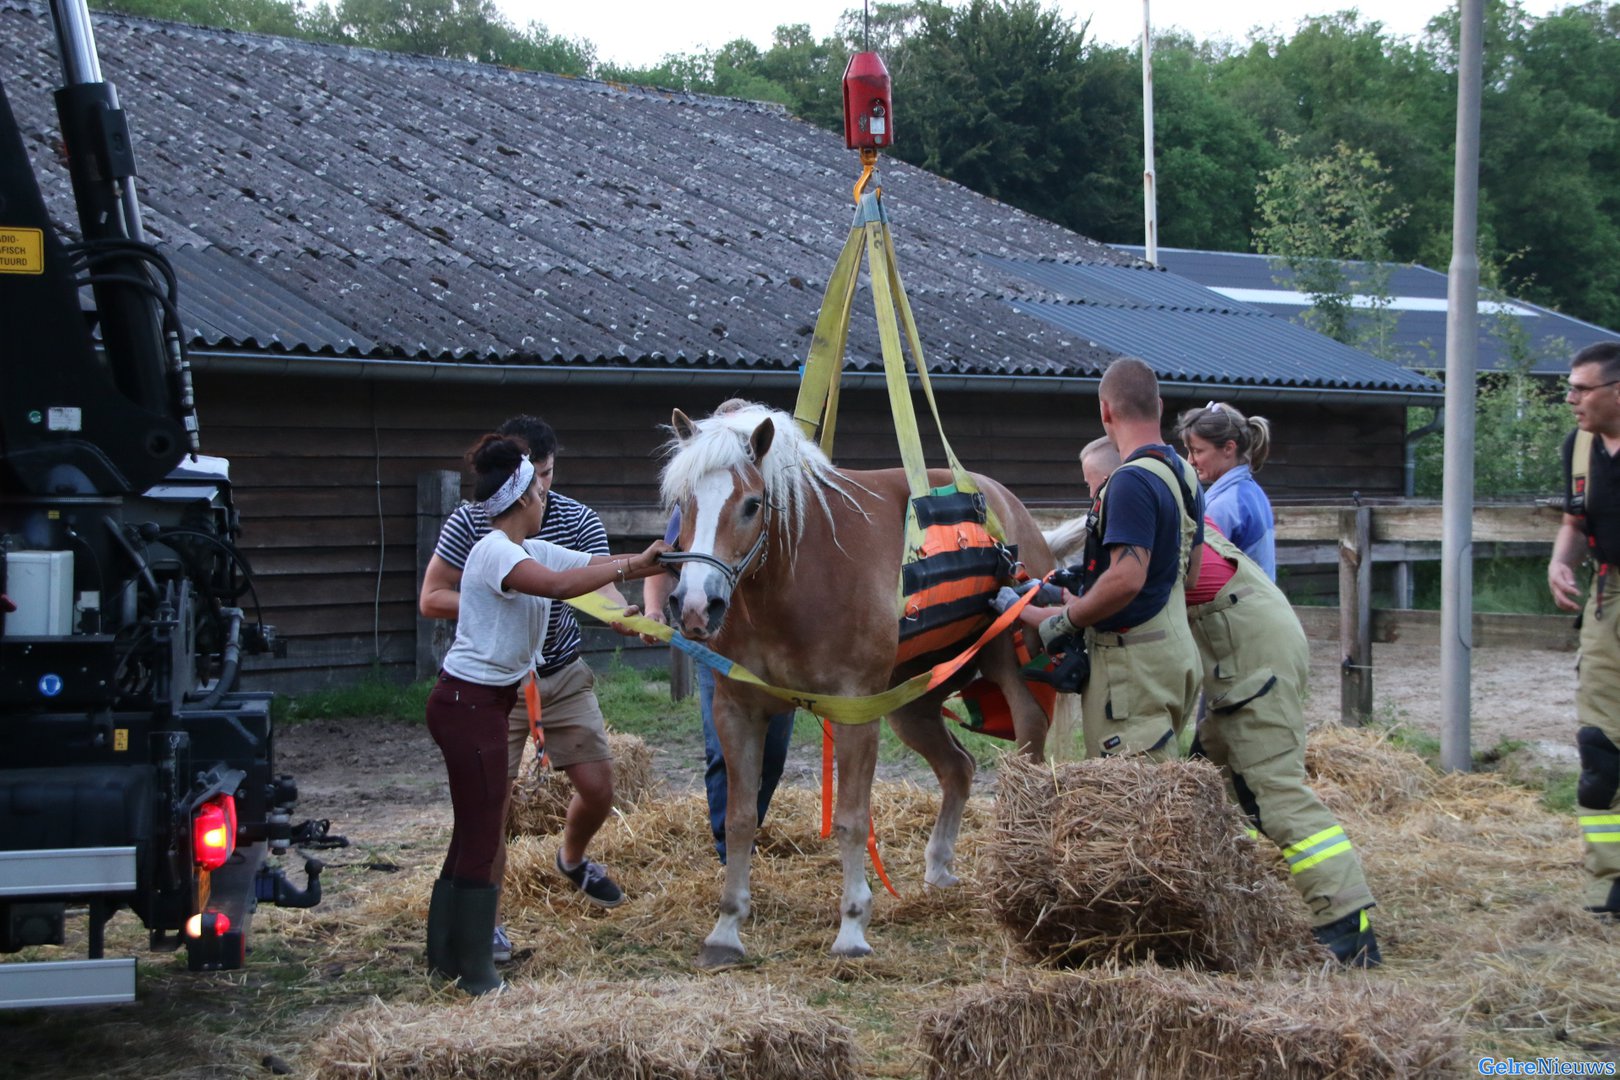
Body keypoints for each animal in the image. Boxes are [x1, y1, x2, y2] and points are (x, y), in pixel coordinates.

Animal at [658, 402, 1056, 966]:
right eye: (683, 502)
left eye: (752, 504)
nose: (696, 606)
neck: (799, 575)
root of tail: (1012, 506)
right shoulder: (736, 710)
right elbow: (738, 818)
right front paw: (727, 927)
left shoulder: (854, 712)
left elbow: (850, 819)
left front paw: (851, 926)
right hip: (912, 705)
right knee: (958, 767)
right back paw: (939, 865)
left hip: (1010, 672)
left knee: (1027, 755)